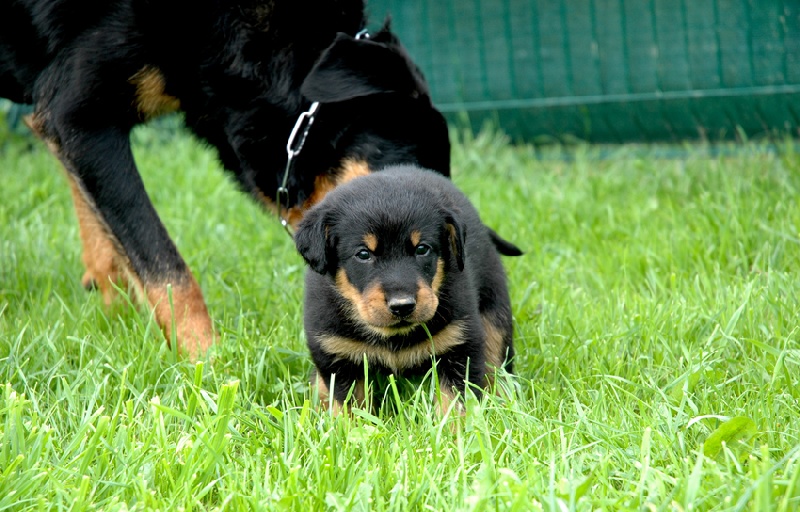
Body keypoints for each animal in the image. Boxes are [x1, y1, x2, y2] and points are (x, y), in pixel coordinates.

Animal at [294, 165, 522, 413]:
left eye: (422, 249)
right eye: (363, 254)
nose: (402, 306)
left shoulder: (459, 343)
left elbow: (453, 403)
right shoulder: (337, 354)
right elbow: (350, 406)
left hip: (494, 311)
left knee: (497, 364)